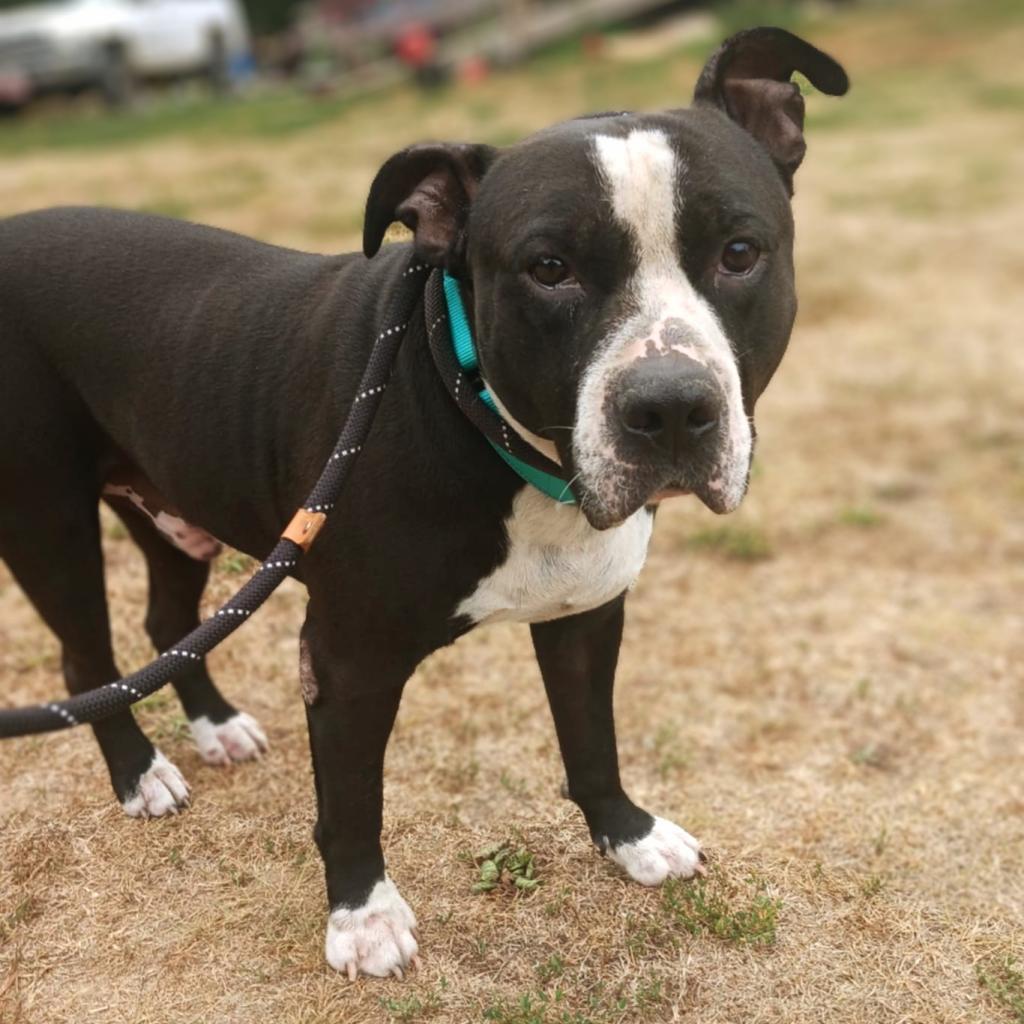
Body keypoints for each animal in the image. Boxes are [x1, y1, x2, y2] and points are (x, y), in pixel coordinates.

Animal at [0, 29, 847, 974]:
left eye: (739, 253)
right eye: (548, 269)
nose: (668, 406)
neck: (485, 421)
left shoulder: (587, 614)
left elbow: (592, 739)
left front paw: (628, 837)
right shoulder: (349, 660)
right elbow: (352, 804)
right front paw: (362, 919)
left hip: (173, 506)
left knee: (168, 624)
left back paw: (215, 727)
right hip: (46, 521)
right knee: (86, 663)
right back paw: (140, 773)